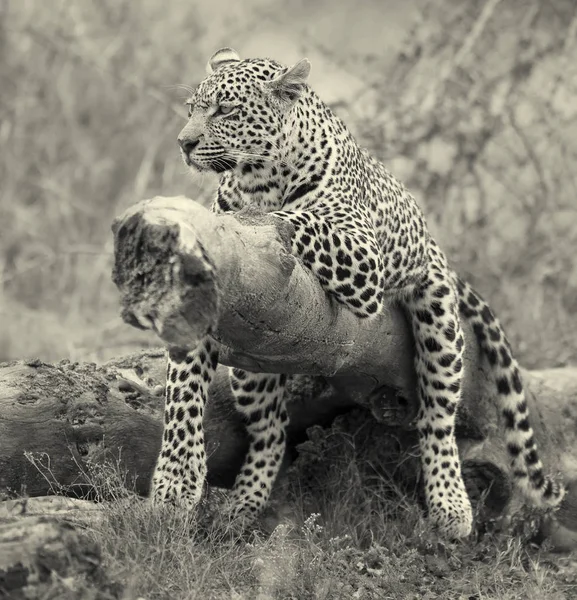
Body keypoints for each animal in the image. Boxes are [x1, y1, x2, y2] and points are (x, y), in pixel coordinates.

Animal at [146, 48, 564, 540]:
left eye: (225, 111)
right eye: (192, 108)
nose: (183, 143)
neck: (257, 179)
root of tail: (435, 250)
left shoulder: (363, 258)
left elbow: (299, 220)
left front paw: (248, 222)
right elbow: (183, 397)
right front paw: (174, 484)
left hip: (440, 321)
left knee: (438, 419)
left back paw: (451, 505)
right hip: (251, 365)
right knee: (273, 430)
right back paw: (243, 507)